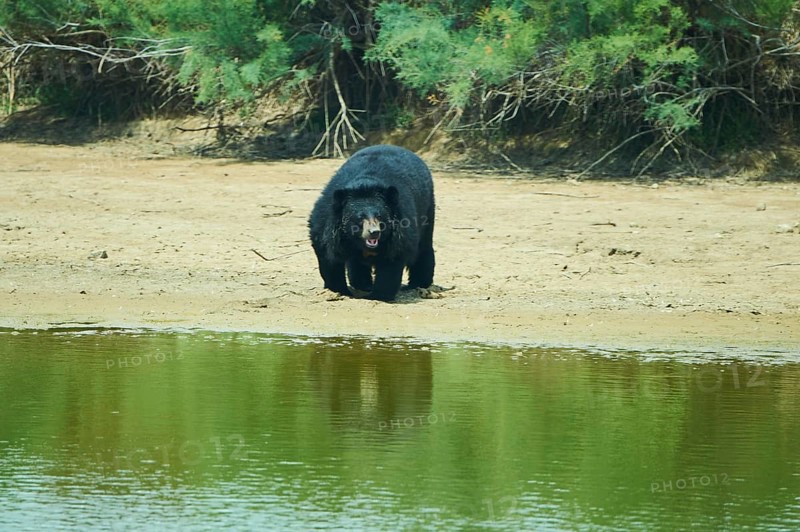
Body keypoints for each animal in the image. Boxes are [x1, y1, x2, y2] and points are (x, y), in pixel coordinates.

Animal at [308, 144, 435, 302]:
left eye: (380, 217)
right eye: (360, 218)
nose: (374, 233)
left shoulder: (400, 229)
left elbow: (392, 259)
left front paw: (379, 295)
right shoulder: (325, 223)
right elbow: (329, 255)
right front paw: (338, 290)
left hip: (427, 208)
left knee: (423, 246)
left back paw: (420, 283)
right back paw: (363, 284)